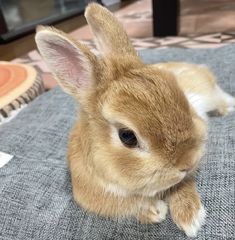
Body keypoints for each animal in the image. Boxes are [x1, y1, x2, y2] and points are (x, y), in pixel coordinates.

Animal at [35, 2, 235, 238]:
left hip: (208, 94)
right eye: (127, 136)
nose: (188, 162)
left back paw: (227, 108)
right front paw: (154, 211)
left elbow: (182, 184)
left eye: (181, 97)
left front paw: (191, 218)